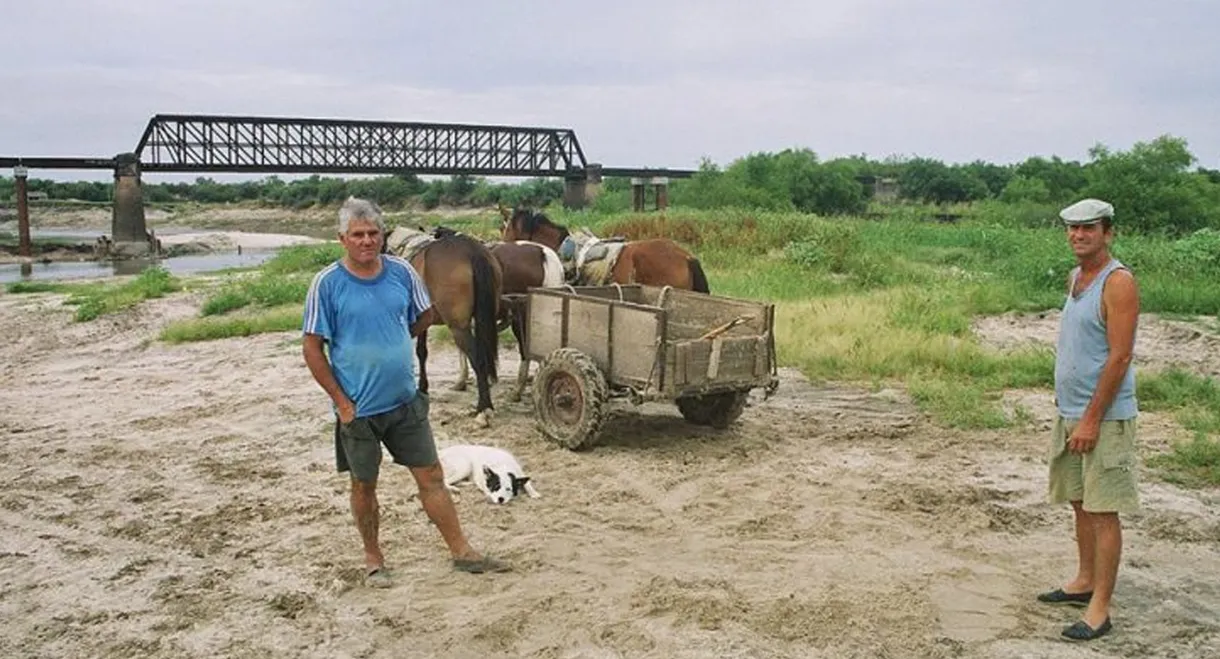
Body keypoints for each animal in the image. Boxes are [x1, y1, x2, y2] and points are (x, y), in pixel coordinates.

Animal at [390, 224, 505, 424]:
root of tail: (472, 251)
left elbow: (420, 352)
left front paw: (422, 387)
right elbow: (422, 351)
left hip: (458, 327)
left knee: (478, 357)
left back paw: (483, 408)